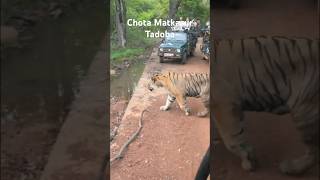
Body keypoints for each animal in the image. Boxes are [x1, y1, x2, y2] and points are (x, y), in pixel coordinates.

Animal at [200, 36, 318, 177]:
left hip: (305, 109)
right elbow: (238, 135)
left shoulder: (223, 104)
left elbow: (231, 140)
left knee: (314, 152)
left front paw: (248, 161)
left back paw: (291, 167)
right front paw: (249, 154)